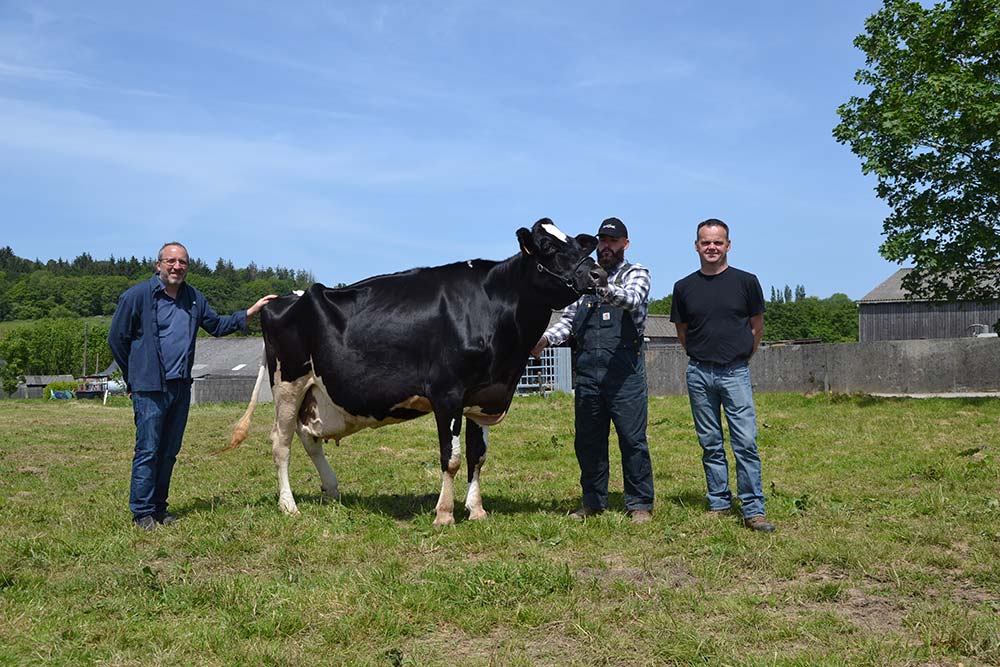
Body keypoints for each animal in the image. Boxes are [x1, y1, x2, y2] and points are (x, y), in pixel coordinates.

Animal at [227, 219, 596, 528]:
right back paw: (289, 505)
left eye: (580, 246)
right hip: (288, 382)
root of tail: (281, 299)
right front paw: (444, 514)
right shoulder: (447, 393)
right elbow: (452, 458)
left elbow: (477, 456)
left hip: (314, 392)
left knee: (309, 436)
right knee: (281, 441)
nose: (596, 275)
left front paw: (476, 510)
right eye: (549, 248)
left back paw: (332, 490)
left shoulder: (482, 394)